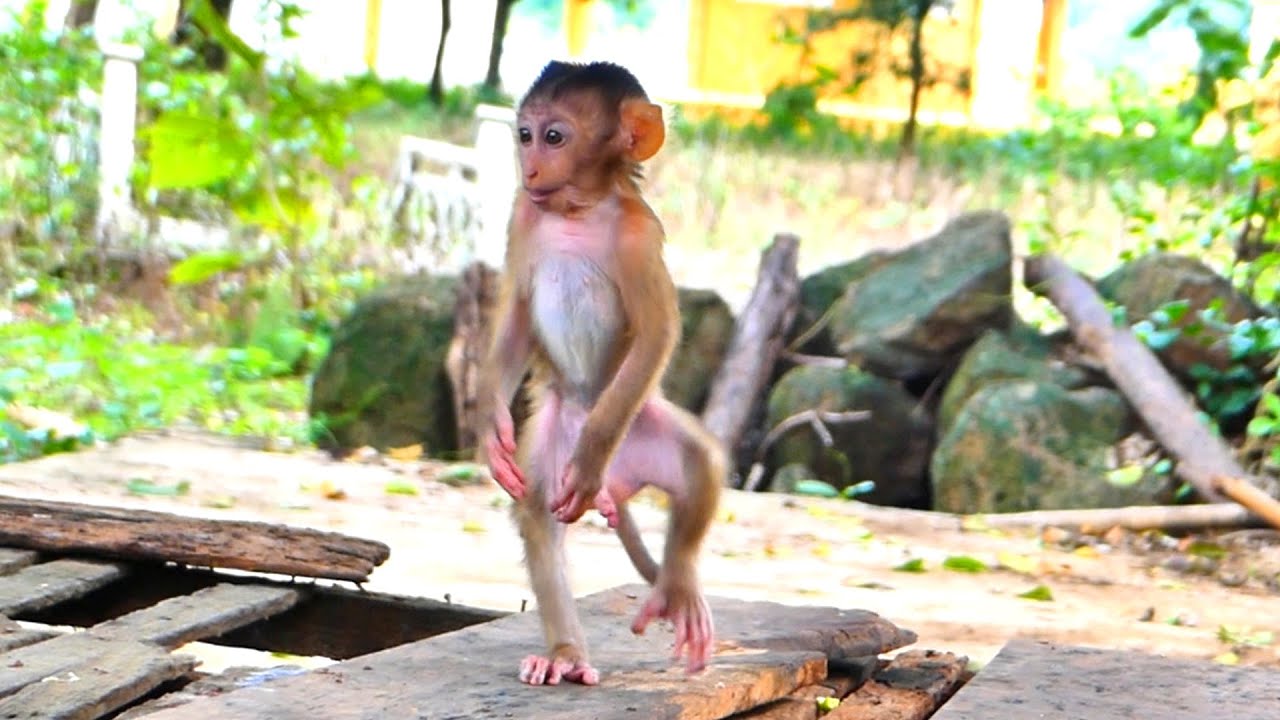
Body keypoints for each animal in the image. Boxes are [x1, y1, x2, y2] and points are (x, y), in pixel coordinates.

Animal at [475, 60, 725, 687]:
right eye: (524, 135)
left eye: (554, 136)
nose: (530, 167)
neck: (576, 211)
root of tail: (623, 480)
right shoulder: (523, 214)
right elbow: (517, 313)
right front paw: (490, 428)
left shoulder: (638, 235)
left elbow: (658, 333)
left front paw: (590, 456)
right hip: (553, 434)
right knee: (538, 512)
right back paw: (565, 654)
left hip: (643, 425)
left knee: (699, 464)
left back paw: (676, 587)